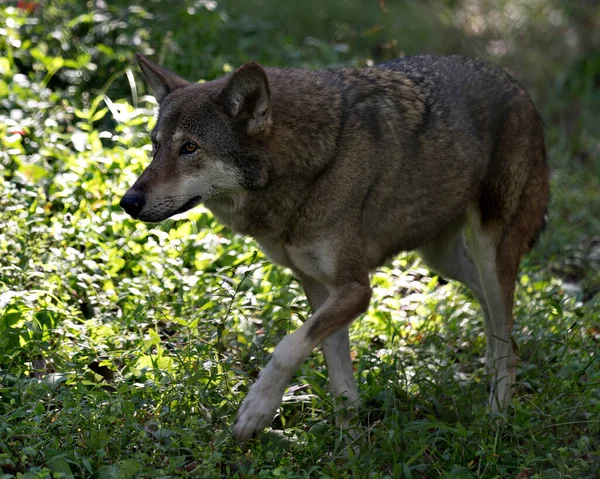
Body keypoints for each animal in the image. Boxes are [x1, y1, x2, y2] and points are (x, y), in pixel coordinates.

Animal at [120, 52, 548, 442]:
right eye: (156, 146)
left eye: (190, 148)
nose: (128, 202)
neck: (309, 167)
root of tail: (518, 87)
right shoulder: (320, 288)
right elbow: (340, 382)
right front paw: (350, 448)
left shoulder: (356, 289)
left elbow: (288, 347)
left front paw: (256, 411)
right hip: (443, 259)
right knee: (497, 322)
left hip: (490, 252)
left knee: (506, 334)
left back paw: (496, 416)